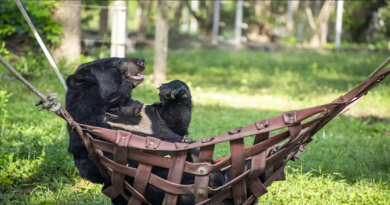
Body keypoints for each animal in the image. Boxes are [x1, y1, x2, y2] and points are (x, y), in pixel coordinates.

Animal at [65, 57, 270, 205]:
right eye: (115, 64)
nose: (141, 60)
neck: (114, 107)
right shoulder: (90, 126)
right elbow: (99, 164)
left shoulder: (145, 112)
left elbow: (174, 120)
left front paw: (172, 89)